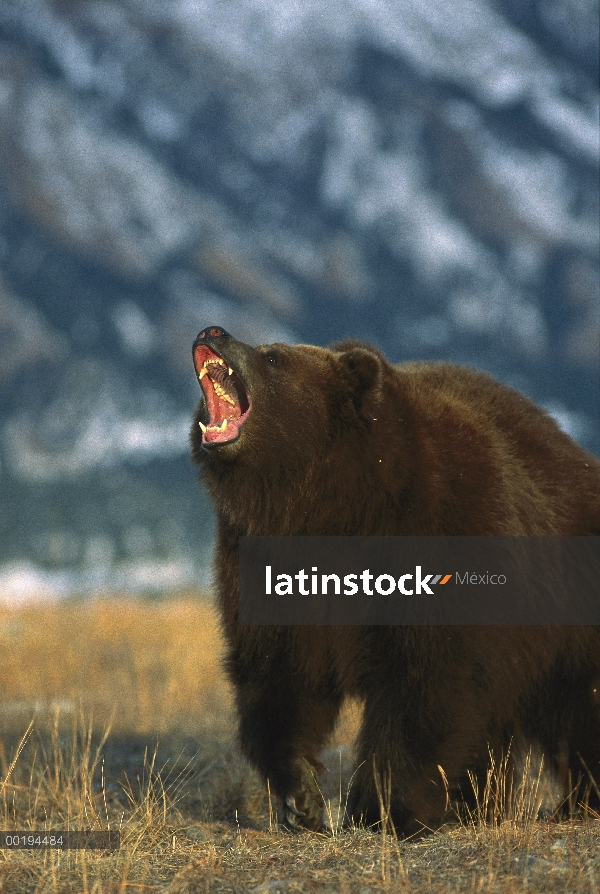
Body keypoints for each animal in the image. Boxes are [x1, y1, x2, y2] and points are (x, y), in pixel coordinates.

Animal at [191, 328, 600, 840]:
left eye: (272, 356)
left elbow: (427, 682)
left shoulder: (438, 527)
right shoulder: (264, 564)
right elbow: (278, 674)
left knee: (578, 708)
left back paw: (572, 801)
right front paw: (301, 797)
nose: (213, 332)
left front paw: (382, 807)